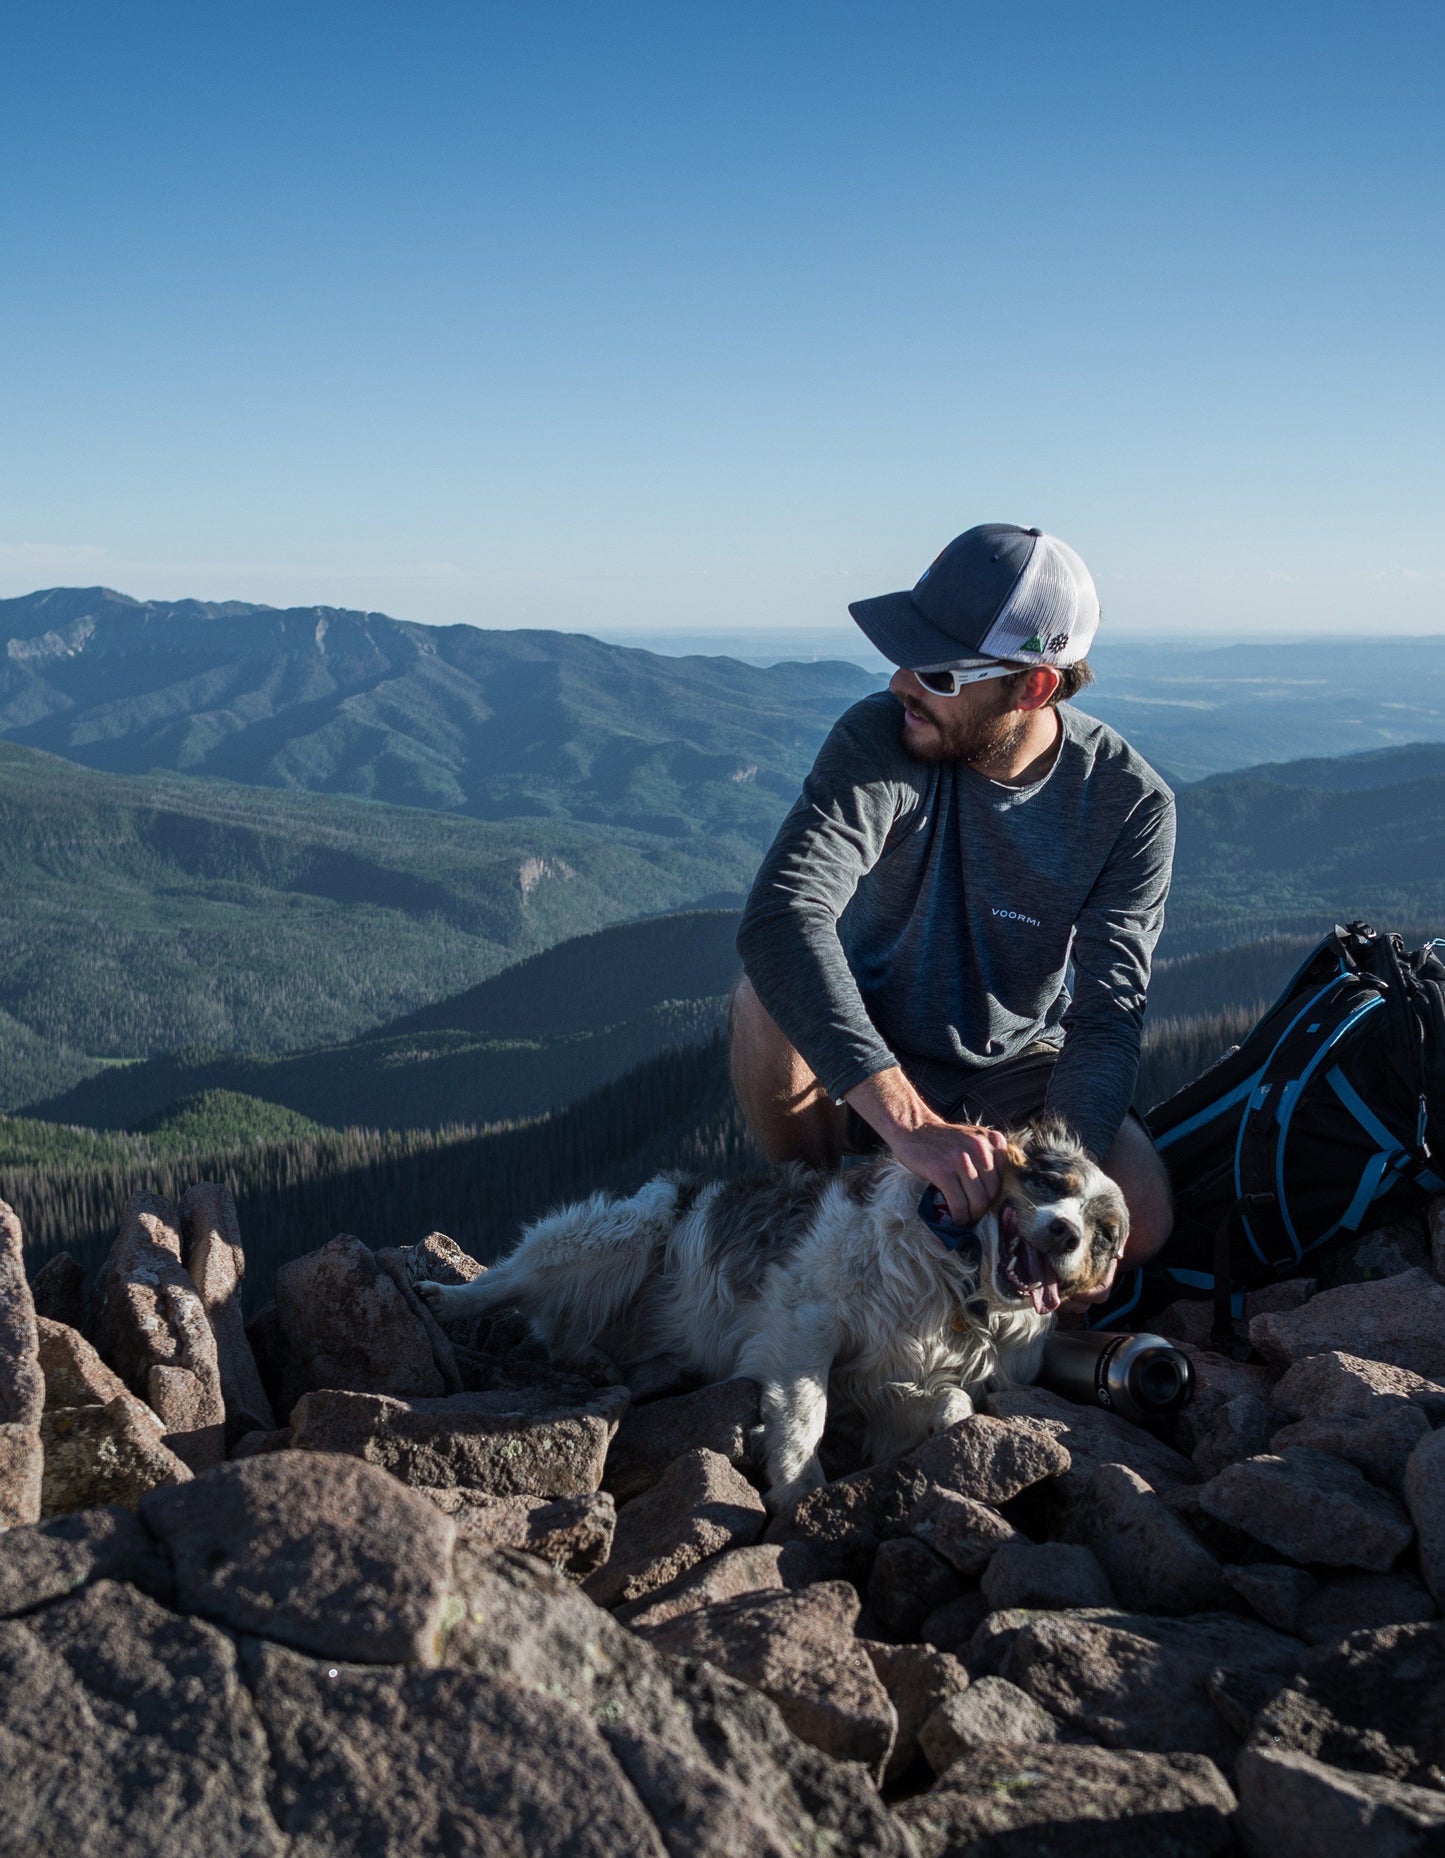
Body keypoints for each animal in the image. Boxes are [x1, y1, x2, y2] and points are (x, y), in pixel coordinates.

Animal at [416, 1114, 1129, 1508]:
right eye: (1050, 1182)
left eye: (1105, 1235)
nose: (1065, 1234)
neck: (957, 1280)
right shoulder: (804, 1320)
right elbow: (806, 1409)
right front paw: (795, 1481)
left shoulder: (881, 1380)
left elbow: (952, 1402)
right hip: (621, 1235)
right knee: (516, 1278)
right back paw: (445, 1299)